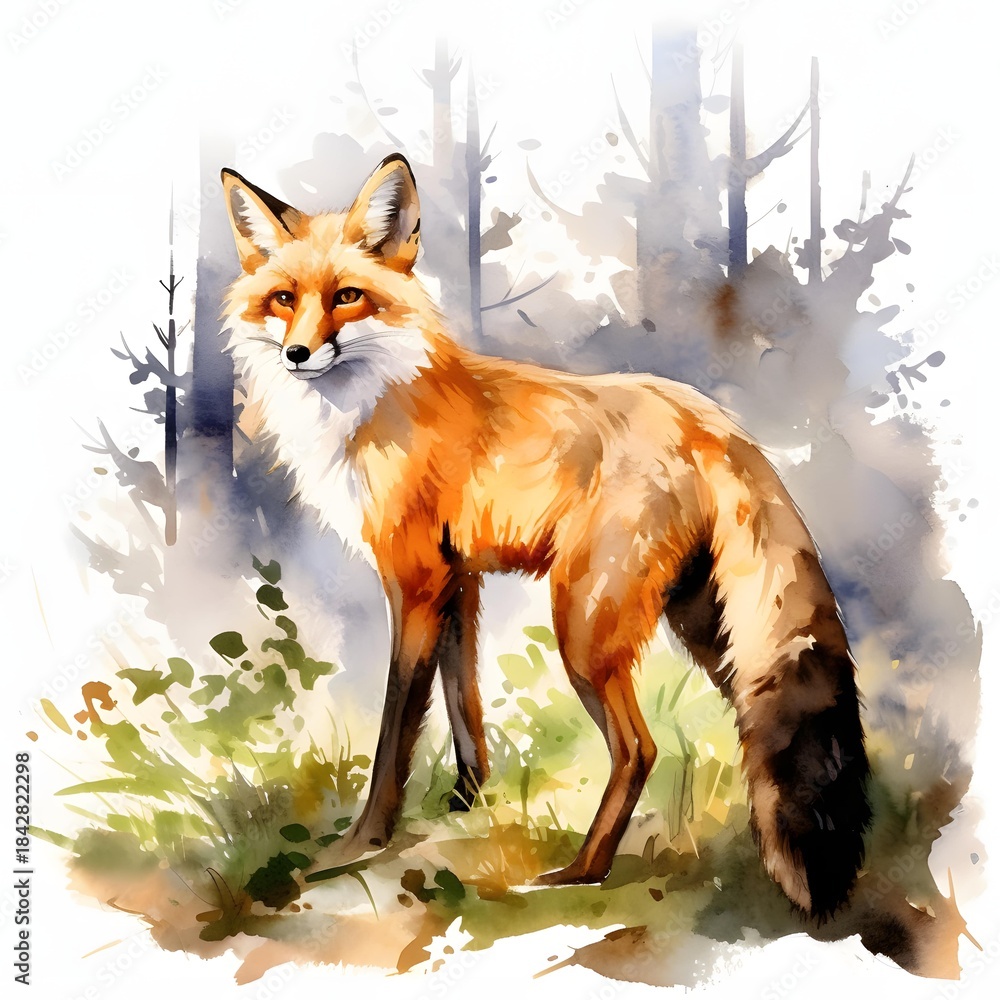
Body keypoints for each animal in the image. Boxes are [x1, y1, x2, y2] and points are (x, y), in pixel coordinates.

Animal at [221, 153, 871, 916]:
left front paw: (361, 844)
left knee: (640, 749)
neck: (374, 400)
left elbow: (395, 731)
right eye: (283, 298)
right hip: (706, 623)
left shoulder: (415, 580)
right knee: (753, 721)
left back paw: (581, 872)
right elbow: (464, 706)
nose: (298, 354)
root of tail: (714, 418)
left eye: (348, 296)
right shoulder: (458, 580)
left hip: (585, 625)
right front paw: (467, 805)